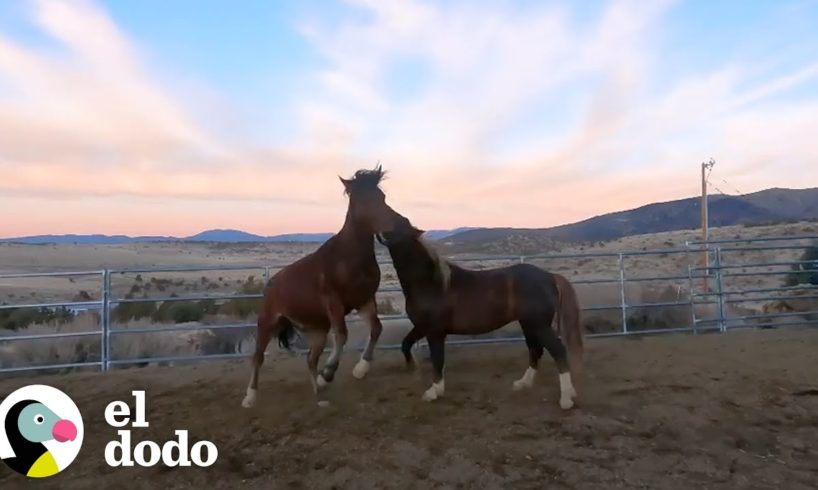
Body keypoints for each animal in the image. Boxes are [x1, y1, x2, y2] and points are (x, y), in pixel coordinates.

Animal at [241, 166, 408, 410]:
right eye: (363, 200)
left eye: (382, 196)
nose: (398, 226)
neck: (349, 258)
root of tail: (270, 285)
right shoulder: (334, 304)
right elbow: (342, 336)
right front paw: (329, 373)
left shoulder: (364, 300)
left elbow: (376, 328)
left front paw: (360, 369)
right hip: (268, 323)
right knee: (258, 357)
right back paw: (250, 397)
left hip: (317, 331)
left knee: (310, 359)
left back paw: (318, 391)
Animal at [380, 226, 584, 410]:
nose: (380, 233)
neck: (431, 283)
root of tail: (550, 276)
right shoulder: (422, 327)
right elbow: (406, 344)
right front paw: (413, 369)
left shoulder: (435, 332)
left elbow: (437, 359)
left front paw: (434, 392)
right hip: (529, 325)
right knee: (536, 350)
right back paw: (523, 384)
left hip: (539, 325)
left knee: (557, 350)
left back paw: (566, 399)